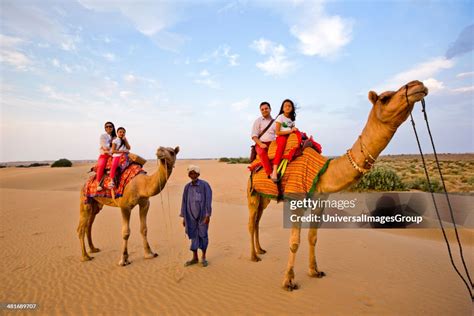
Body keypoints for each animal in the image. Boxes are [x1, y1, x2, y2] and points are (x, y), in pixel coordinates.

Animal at [248, 80, 430, 290]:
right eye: (385, 97)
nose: (418, 85)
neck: (323, 171)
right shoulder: (297, 200)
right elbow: (294, 242)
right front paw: (288, 281)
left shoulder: (320, 201)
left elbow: (313, 237)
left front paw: (314, 271)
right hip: (251, 192)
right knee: (251, 222)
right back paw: (253, 257)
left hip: (264, 196)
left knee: (258, 219)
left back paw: (261, 250)